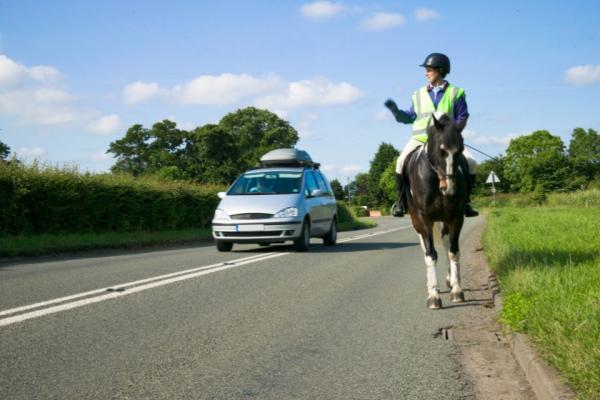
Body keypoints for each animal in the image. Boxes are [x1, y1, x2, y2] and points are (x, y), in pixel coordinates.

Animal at [404, 112, 468, 310]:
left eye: (460, 151)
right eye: (441, 151)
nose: (450, 189)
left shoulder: (456, 217)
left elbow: (453, 251)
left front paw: (457, 290)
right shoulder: (424, 219)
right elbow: (430, 254)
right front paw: (433, 295)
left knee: (447, 243)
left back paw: (450, 280)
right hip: (417, 221)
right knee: (425, 248)